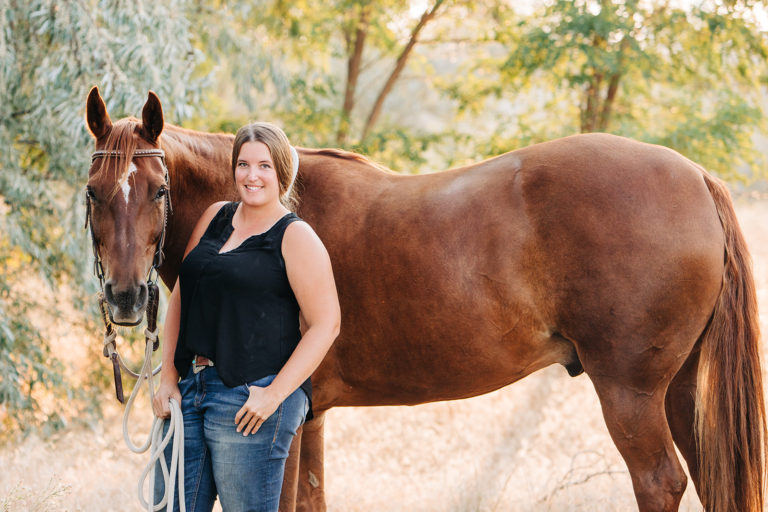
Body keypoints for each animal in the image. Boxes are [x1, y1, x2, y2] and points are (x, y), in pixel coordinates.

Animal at [85, 86, 768, 510]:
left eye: (159, 190)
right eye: (94, 191)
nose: (125, 296)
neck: (276, 205)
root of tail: (696, 177)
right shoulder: (311, 417)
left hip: (630, 391)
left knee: (658, 482)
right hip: (681, 389)